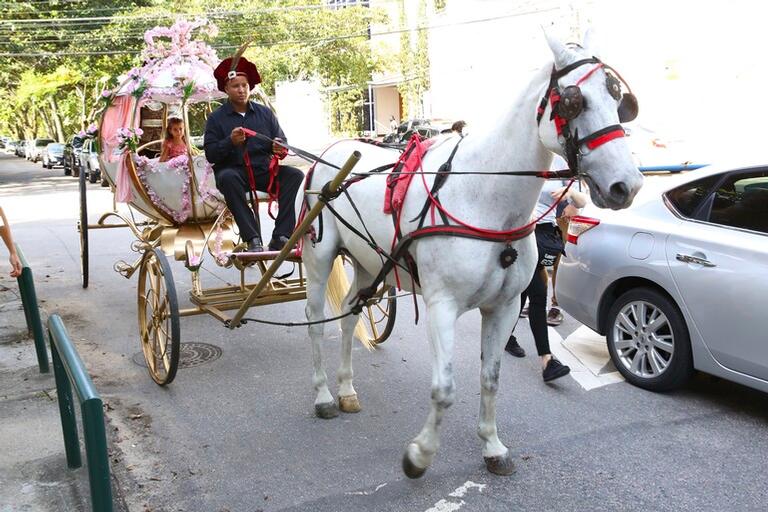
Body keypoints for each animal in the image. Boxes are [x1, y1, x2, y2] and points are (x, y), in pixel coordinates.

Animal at [300, 32, 640, 478]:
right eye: (572, 101)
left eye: (619, 100)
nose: (627, 185)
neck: (485, 198)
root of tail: (332, 151)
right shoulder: (441, 305)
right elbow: (444, 388)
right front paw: (420, 455)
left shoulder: (505, 306)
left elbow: (490, 379)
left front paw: (492, 445)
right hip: (319, 258)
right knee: (315, 321)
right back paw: (324, 394)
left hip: (370, 264)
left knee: (349, 315)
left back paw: (345, 388)